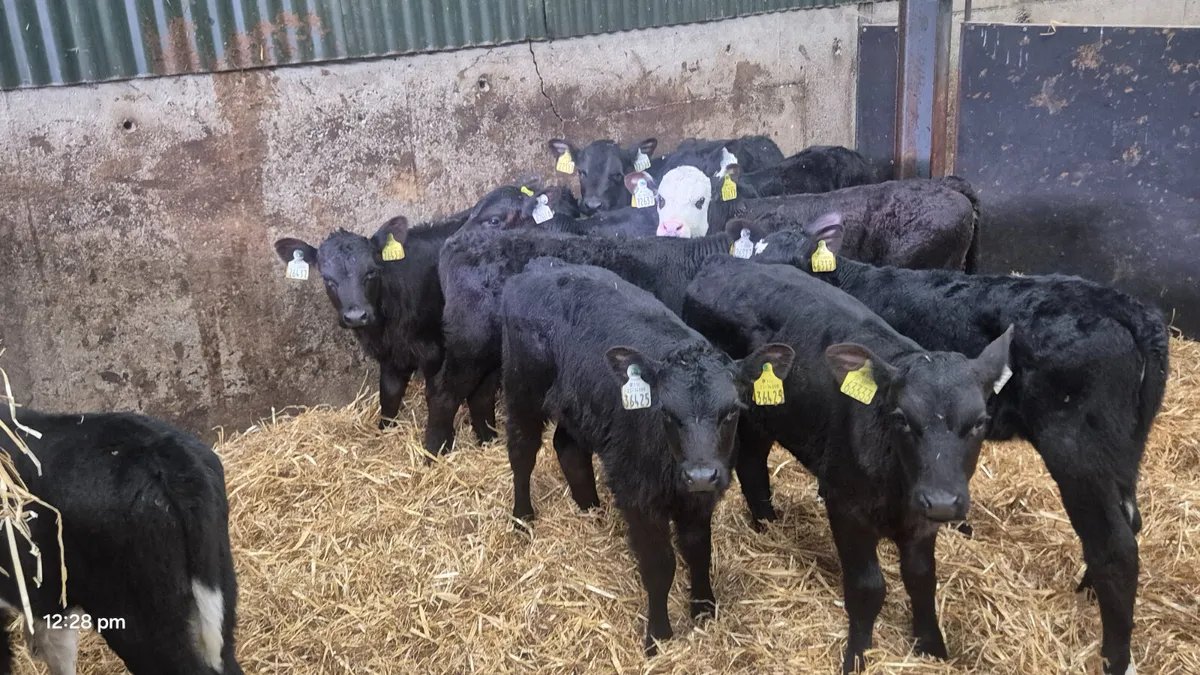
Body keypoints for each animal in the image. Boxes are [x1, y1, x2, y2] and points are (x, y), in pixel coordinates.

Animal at [274, 213, 499, 445]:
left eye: (371, 272)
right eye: (327, 279)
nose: (356, 316)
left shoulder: (436, 353)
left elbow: (438, 394)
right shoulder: (391, 355)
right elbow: (389, 395)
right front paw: (384, 431)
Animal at [428, 228, 745, 455]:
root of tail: (456, 241)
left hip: (492, 354)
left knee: (479, 394)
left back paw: (486, 439)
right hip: (469, 345)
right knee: (443, 392)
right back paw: (436, 449)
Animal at [500, 257, 794, 654]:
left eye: (732, 411)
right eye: (666, 412)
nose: (700, 474)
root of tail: (540, 267)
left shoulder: (699, 499)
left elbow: (699, 549)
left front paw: (704, 608)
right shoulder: (638, 494)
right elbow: (660, 565)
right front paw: (658, 634)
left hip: (578, 405)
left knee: (568, 447)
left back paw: (590, 508)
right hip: (522, 388)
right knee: (521, 451)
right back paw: (522, 516)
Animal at [681, 254, 1013, 673]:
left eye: (980, 422)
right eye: (902, 418)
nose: (941, 500)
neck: (896, 488)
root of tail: (721, 263)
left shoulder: (922, 520)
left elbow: (922, 577)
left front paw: (932, 646)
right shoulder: (846, 505)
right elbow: (868, 586)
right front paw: (857, 653)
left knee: (754, 464)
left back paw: (768, 524)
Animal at [751, 214, 1171, 675]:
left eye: (788, 261)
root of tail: (1131, 310)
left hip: (1079, 451)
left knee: (1115, 547)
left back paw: (1114, 655)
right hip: (1123, 452)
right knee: (1129, 521)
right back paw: (1088, 589)